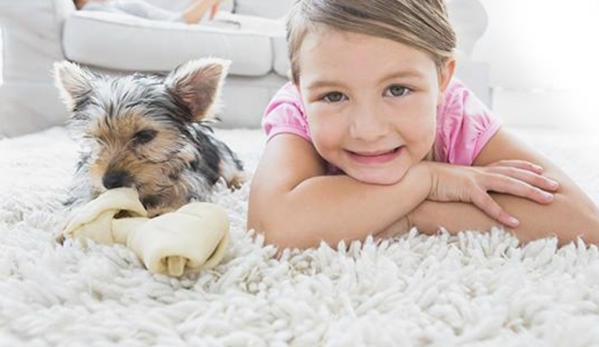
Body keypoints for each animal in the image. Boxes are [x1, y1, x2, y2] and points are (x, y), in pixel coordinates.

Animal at [54, 58, 245, 219]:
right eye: (97, 138)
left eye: (145, 135)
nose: (109, 182)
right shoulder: (87, 176)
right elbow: (83, 194)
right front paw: (75, 216)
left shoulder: (191, 181)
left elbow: (182, 198)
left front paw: (162, 211)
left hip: (222, 157)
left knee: (233, 169)